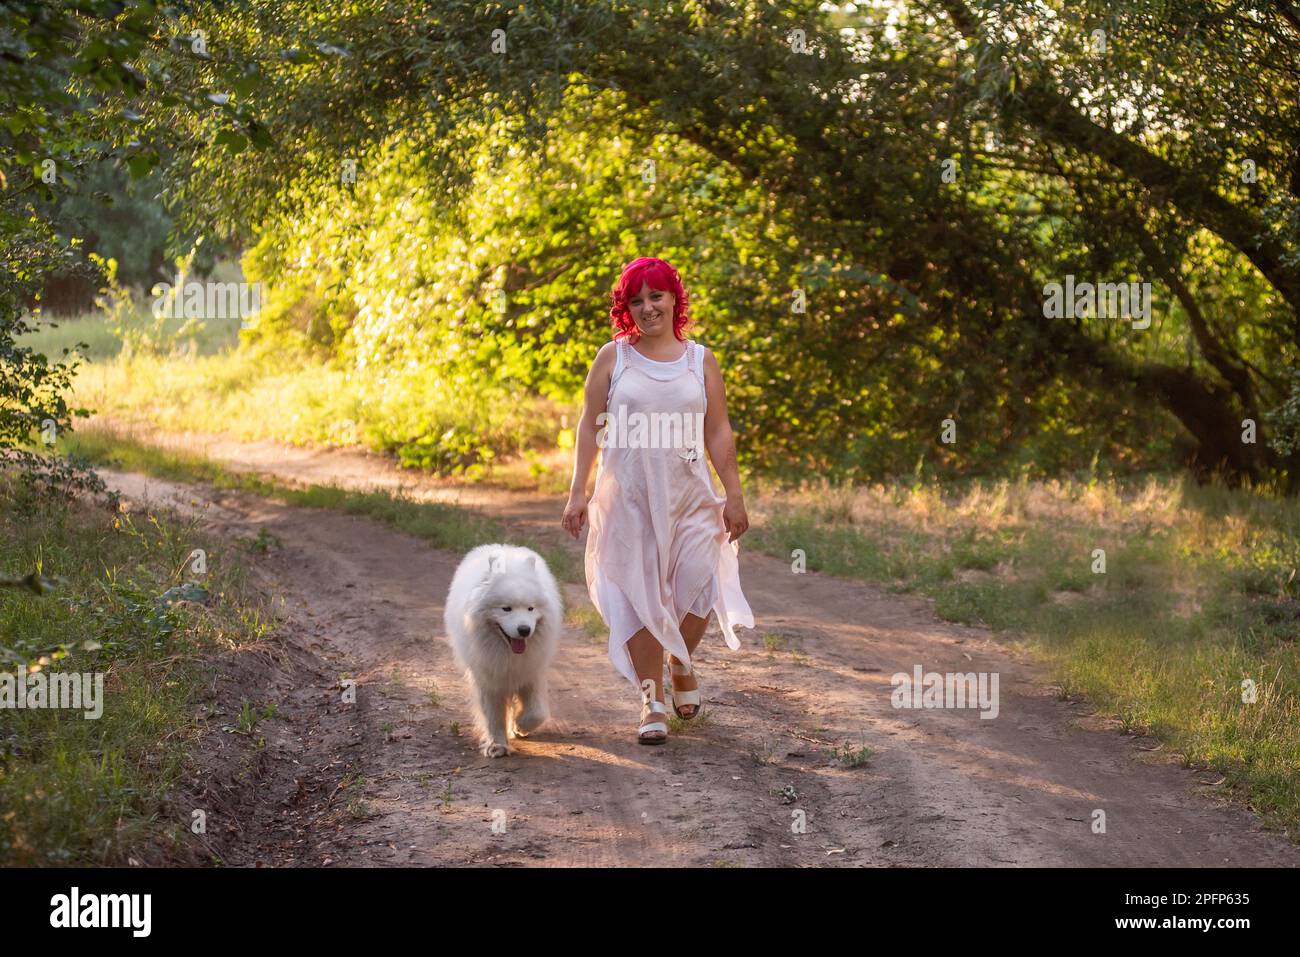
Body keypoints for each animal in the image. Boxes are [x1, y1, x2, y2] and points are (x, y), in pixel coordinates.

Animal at [444, 546, 561, 754]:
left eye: (531, 608)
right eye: (506, 609)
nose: (524, 629)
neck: (508, 654)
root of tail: (503, 546)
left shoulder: (532, 672)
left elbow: (537, 712)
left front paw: (520, 726)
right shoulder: (488, 678)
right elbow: (493, 716)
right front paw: (496, 744)